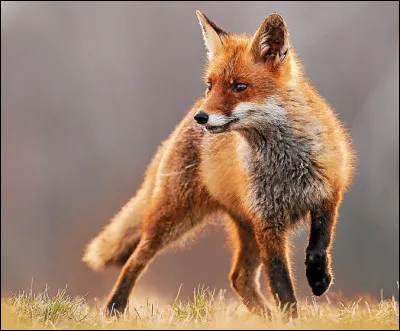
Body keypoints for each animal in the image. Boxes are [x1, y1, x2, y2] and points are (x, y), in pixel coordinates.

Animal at [81, 11, 354, 320]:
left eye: (239, 87)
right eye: (210, 85)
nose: (202, 117)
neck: (286, 166)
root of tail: (180, 123)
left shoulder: (328, 193)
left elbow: (319, 245)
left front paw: (319, 279)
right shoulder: (267, 222)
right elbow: (281, 283)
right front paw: (291, 320)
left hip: (241, 226)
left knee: (239, 278)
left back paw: (264, 318)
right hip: (175, 218)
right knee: (136, 260)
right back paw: (114, 309)